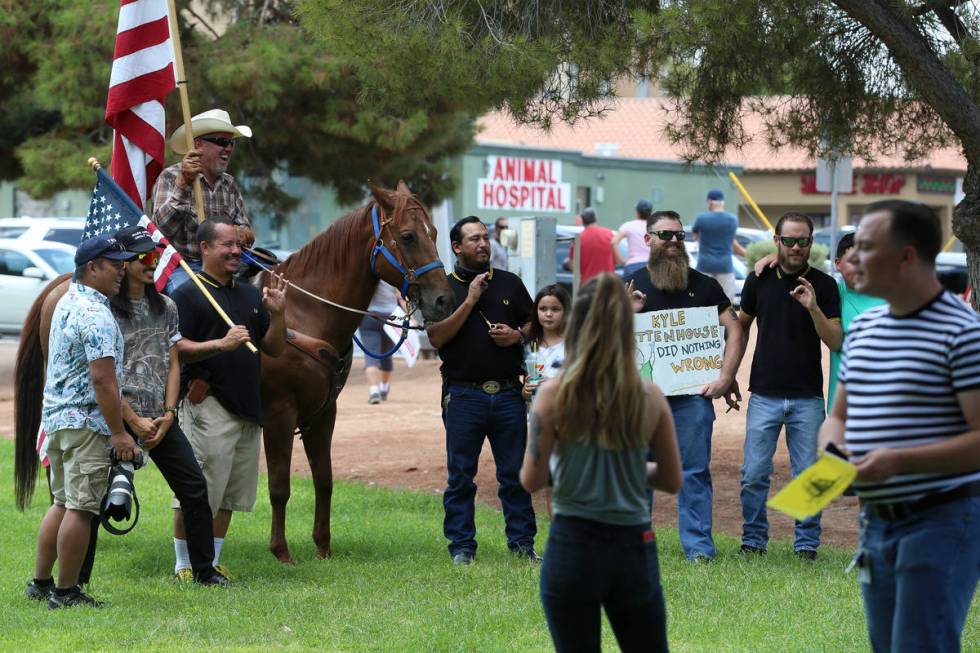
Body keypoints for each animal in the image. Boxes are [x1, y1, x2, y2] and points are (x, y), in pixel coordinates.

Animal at [12, 181, 456, 564]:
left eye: (434, 231)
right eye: (408, 236)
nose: (443, 299)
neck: (305, 315)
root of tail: (63, 284)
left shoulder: (323, 414)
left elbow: (325, 480)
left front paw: (323, 547)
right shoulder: (279, 415)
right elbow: (279, 486)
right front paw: (281, 551)